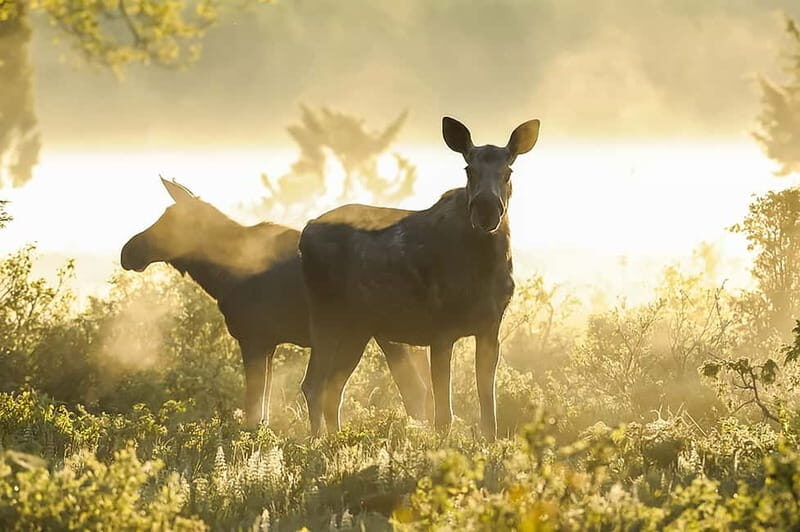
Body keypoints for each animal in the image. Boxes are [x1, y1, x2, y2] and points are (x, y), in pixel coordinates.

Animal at [120, 178, 432, 428]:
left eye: (169, 220)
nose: (128, 251)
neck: (220, 277)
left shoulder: (253, 338)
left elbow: (252, 409)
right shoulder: (269, 343)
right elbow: (264, 411)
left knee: (410, 389)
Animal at [298, 116, 540, 440]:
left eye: (508, 171)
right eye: (468, 169)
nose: (486, 210)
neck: (484, 268)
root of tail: (305, 232)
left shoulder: (490, 329)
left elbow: (489, 413)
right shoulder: (441, 331)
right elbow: (443, 415)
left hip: (357, 328)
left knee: (333, 389)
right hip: (326, 315)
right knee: (313, 385)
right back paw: (316, 443)